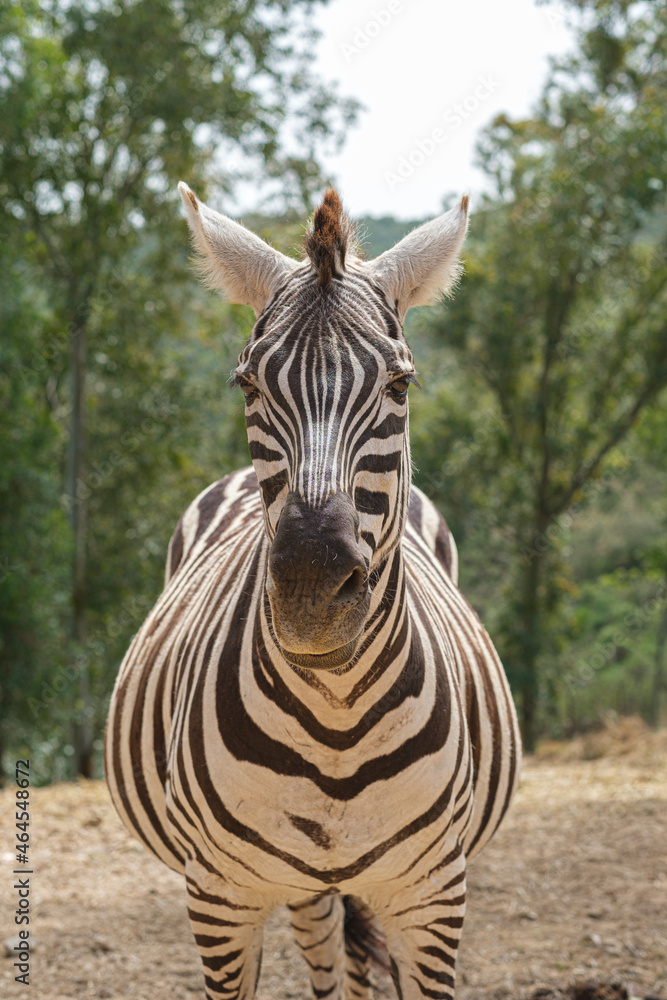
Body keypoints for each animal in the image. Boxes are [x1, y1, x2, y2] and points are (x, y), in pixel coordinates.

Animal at [105, 183, 521, 1000]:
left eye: (400, 383)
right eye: (247, 383)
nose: (310, 594)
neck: (337, 721)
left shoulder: (433, 897)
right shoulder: (219, 897)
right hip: (300, 891)